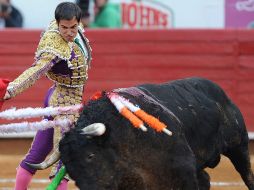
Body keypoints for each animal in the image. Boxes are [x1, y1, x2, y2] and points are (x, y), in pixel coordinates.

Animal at [58, 77, 253, 190]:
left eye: (90, 155)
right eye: (67, 165)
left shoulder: (183, 169)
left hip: (239, 145)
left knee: (247, 174)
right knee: (205, 179)